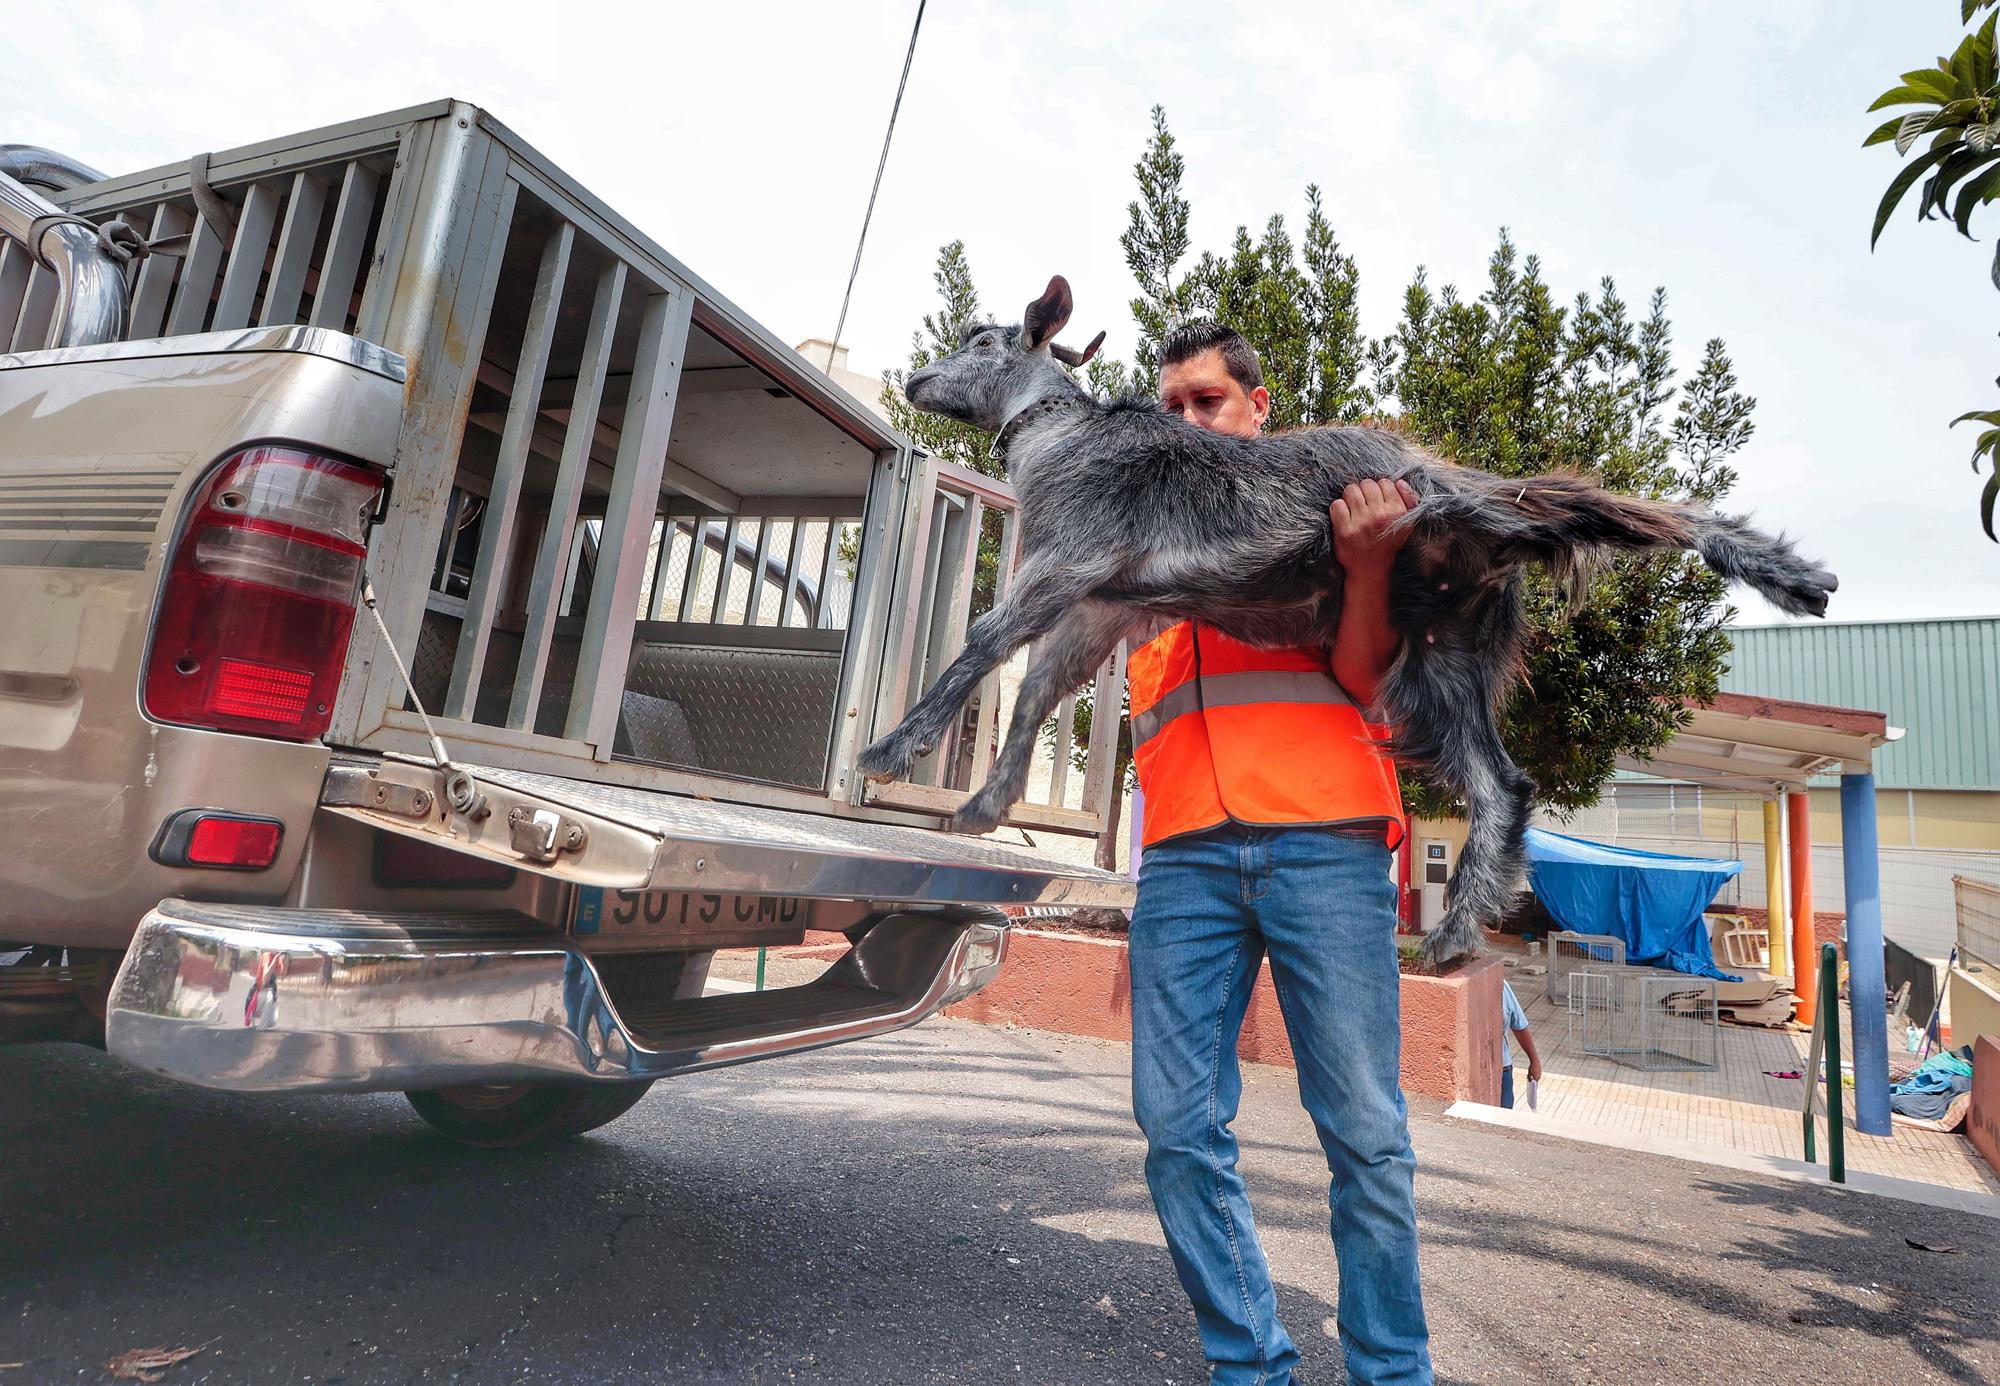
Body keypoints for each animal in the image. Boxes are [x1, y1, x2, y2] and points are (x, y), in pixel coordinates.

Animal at [852, 276, 1832, 956]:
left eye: (984, 337)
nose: (918, 378)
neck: (1060, 435)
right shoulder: (1100, 604)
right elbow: (1036, 689)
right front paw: (983, 804)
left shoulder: (1073, 556)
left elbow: (985, 645)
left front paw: (892, 751)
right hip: (1444, 642)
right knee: (1501, 782)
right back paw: (1452, 936)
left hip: (1467, 520)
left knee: (1611, 508)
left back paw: (1790, 574)